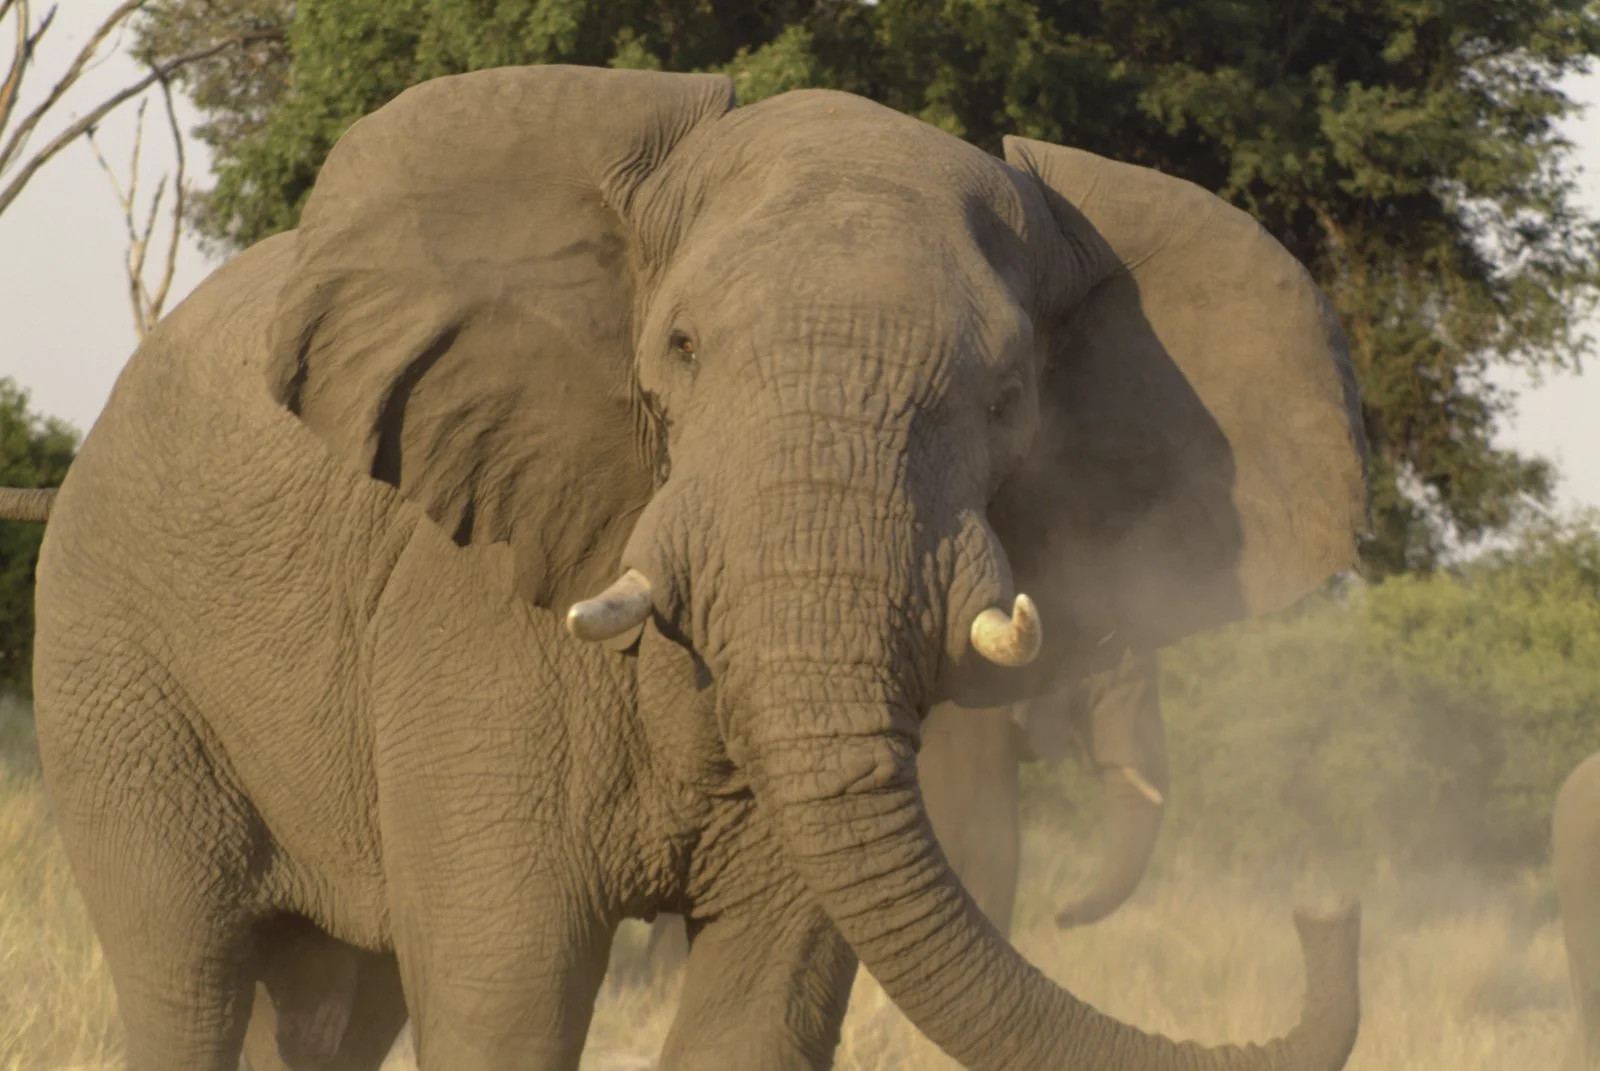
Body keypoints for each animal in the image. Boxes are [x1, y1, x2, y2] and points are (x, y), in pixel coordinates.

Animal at [21, 65, 1370, 1071]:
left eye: (1008, 397)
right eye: (679, 346)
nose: (1321, 911)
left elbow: (766, 1001)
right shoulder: (462, 613)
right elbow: (506, 988)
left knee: (333, 1004)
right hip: (112, 664)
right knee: (184, 968)